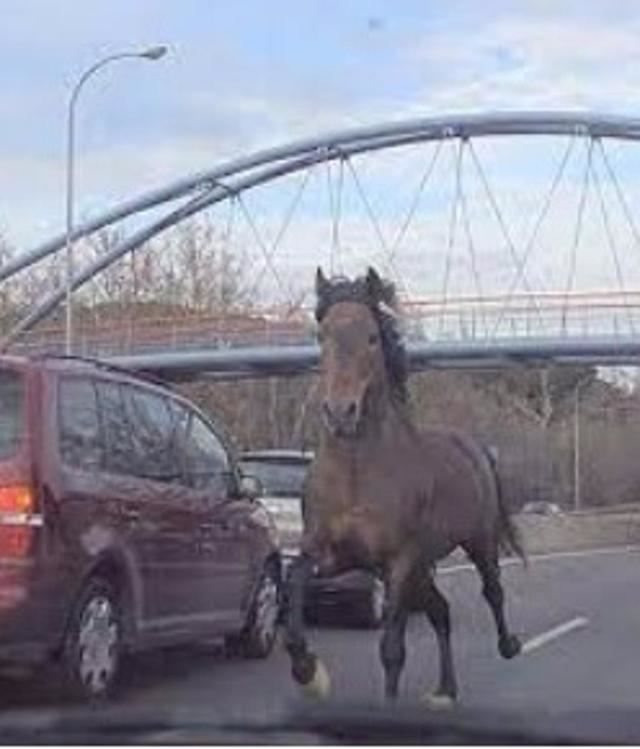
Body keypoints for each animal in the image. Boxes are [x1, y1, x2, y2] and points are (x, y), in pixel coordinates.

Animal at [282, 266, 524, 704]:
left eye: (372, 337)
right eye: (321, 336)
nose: (340, 413)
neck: (357, 473)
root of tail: (474, 447)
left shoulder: (398, 562)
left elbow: (392, 648)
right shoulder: (330, 553)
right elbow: (294, 583)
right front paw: (309, 673)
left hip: (475, 542)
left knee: (492, 591)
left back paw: (508, 645)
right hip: (424, 567)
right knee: (441, 611)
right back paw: (445, 690)